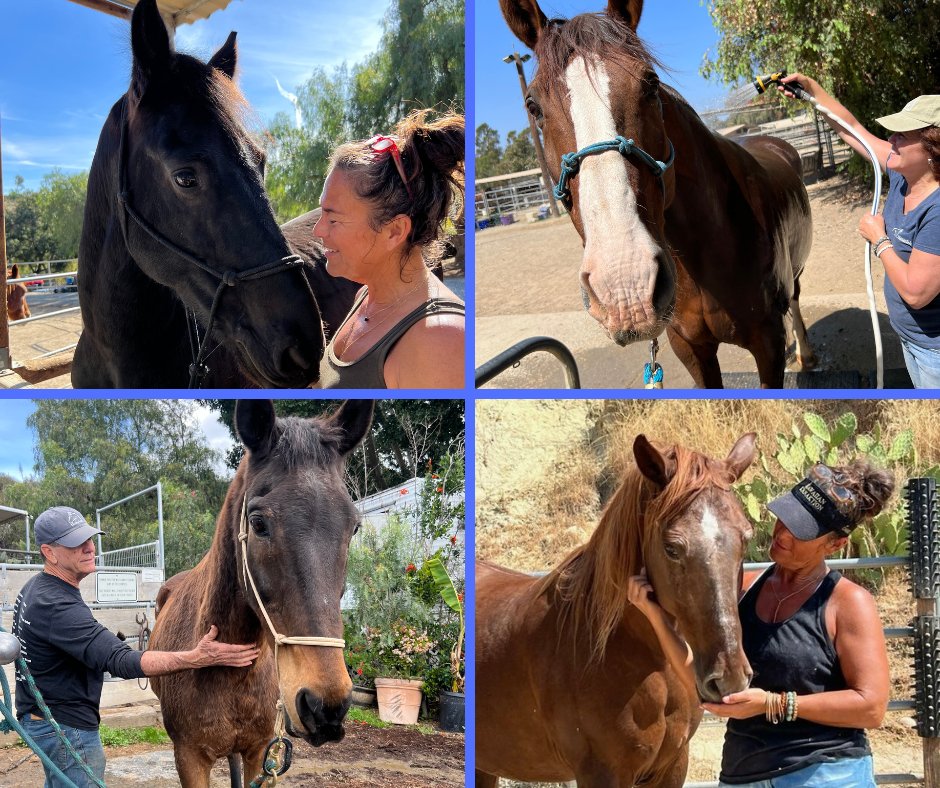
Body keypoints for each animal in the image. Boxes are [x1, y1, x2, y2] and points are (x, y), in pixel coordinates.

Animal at [499, 0, 816, 388]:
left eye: (650, 83)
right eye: (533, 105)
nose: (625, 286)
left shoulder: (768, 342)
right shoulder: (688, 346)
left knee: (797, 300)